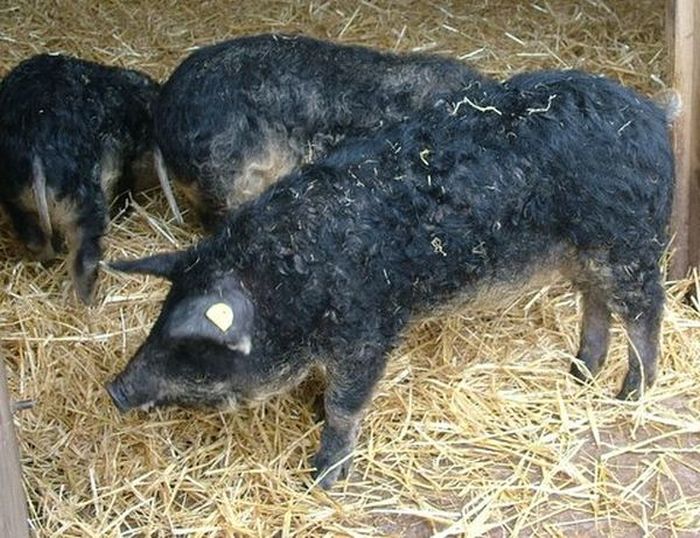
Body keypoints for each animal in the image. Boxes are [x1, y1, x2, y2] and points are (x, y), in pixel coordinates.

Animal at [0, 53, 159, 302]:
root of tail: (36, 149)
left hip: (15, 197)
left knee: (35, 239)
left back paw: (47, 262)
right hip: (85, 197)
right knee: (85, 256)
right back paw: (90, 302)